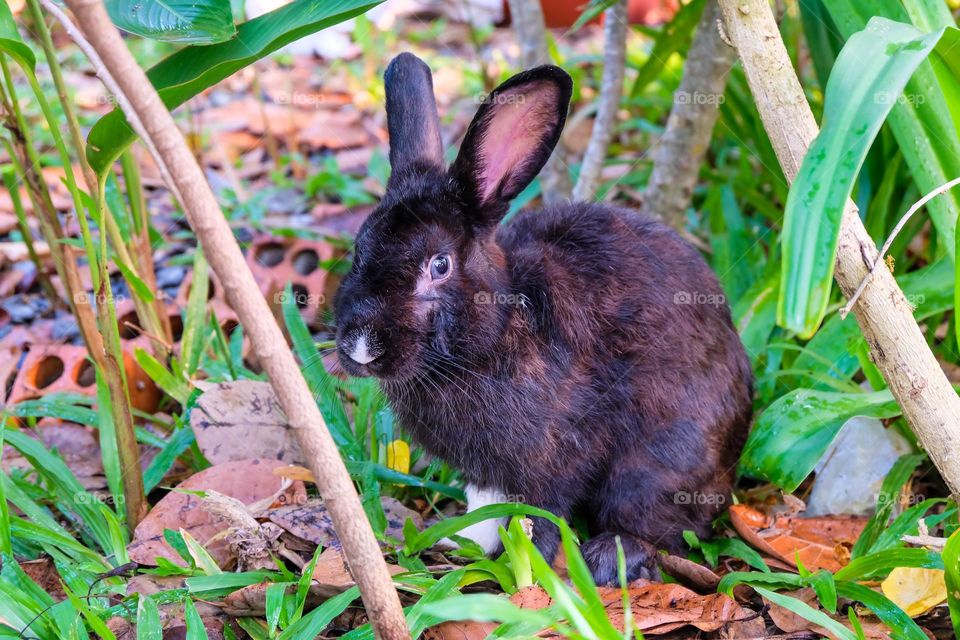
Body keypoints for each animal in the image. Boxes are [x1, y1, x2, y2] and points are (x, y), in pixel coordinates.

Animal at [334, 53, 752, 584]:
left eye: (440, 264)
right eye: (359, 247)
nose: (360, 347)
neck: (495, 336)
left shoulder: (558, 457)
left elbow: (540, 514)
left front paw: (525, 571)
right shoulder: (487, 474)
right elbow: (487, 507)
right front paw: (466, 545)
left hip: (660, 462)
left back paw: (610, 556)